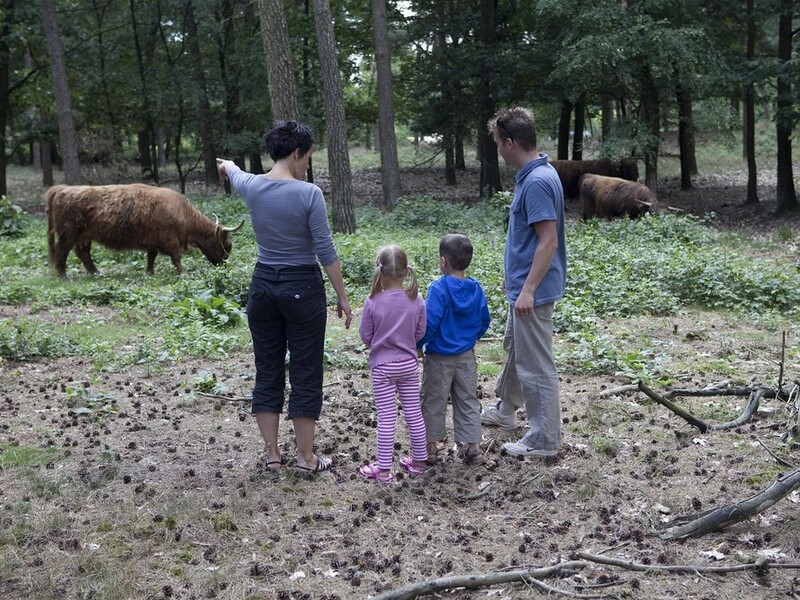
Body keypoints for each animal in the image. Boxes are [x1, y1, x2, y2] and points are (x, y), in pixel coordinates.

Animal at [43, 183, 242, 276]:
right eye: (226, 244)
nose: (224, 264)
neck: (184, 214)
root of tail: (62, 189)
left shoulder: (154, 241)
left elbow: (151, 257)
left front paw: (150, 273)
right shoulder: (170, 240)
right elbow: (176, 258)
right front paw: (183, 272)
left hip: (85, 235)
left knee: (82, 252)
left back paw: (96, 273)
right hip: (69, 234)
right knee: (62, 251)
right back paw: (64, 275)